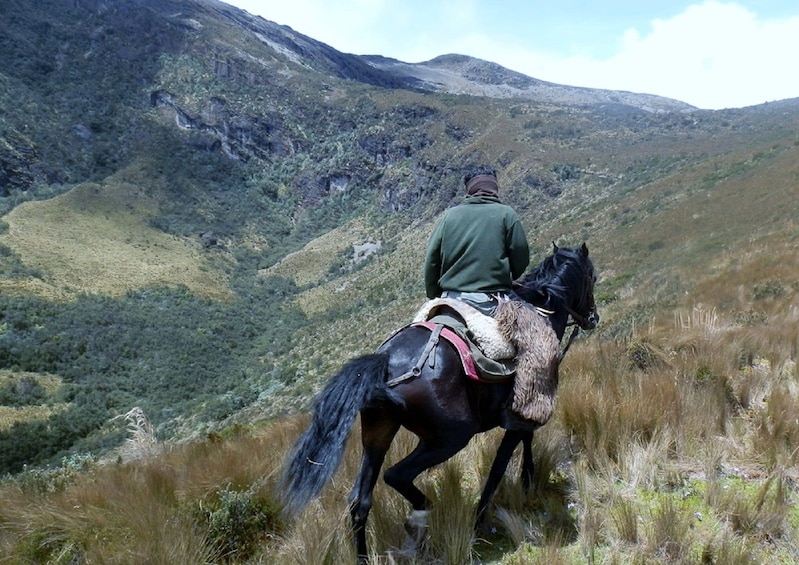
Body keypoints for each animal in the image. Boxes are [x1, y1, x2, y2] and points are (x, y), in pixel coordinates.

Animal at [282, 241, 600, 560]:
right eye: (592, 277)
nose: (593, 318)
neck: (543, 308)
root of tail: (386, 360)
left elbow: (524, 442)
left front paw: (527, 480)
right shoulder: (522, 411)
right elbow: (500, 466)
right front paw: (485, 515)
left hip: (377, 435)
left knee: (359, 501)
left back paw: (365, 555)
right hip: (449, 438)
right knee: (396, 475)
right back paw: (423, 516)